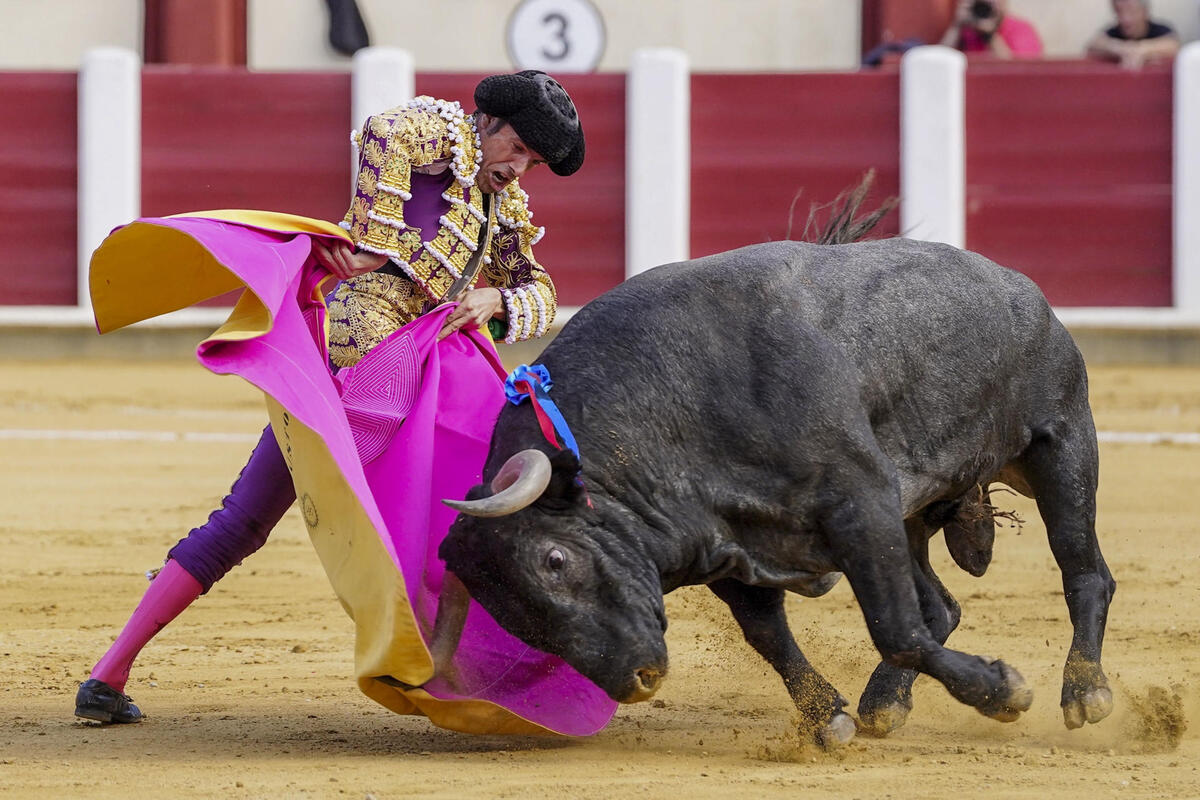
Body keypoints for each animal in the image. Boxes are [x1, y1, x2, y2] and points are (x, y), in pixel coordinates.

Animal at [436, 214, 1108, 753]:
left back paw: (1085, 692)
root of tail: (1017, 285)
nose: (638, 680)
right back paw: (884, 704)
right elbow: (771, 635)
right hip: (915, 509)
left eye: (554, 559)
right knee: (940, 606)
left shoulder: (860, 500)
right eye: (512, 616)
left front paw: (1004, 690)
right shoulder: (729, 544)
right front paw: (826, 718)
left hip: (1061, 441)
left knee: (1083, 571)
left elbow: (893, 626)